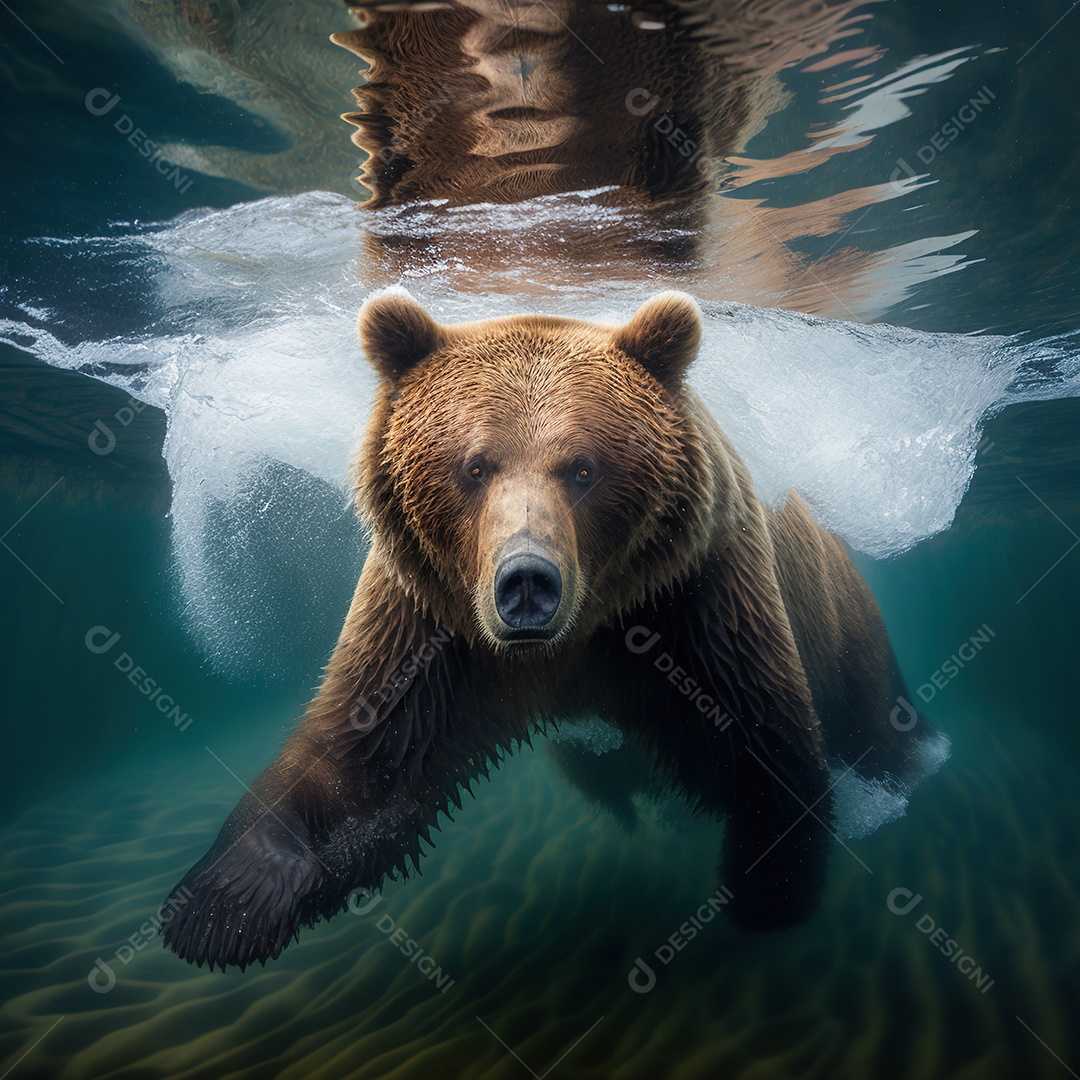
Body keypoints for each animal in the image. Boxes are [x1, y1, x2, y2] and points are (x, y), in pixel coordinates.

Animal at [161, 289, 935, 971]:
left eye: (583, 468)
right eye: (474, 465)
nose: (527, 583)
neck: (575, 636)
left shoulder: (696, 604)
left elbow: (764, 750)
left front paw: (767, 896)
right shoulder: (429, 625)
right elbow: (363, 766)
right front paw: (222, 904)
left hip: (843, 622)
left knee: (874, 716)